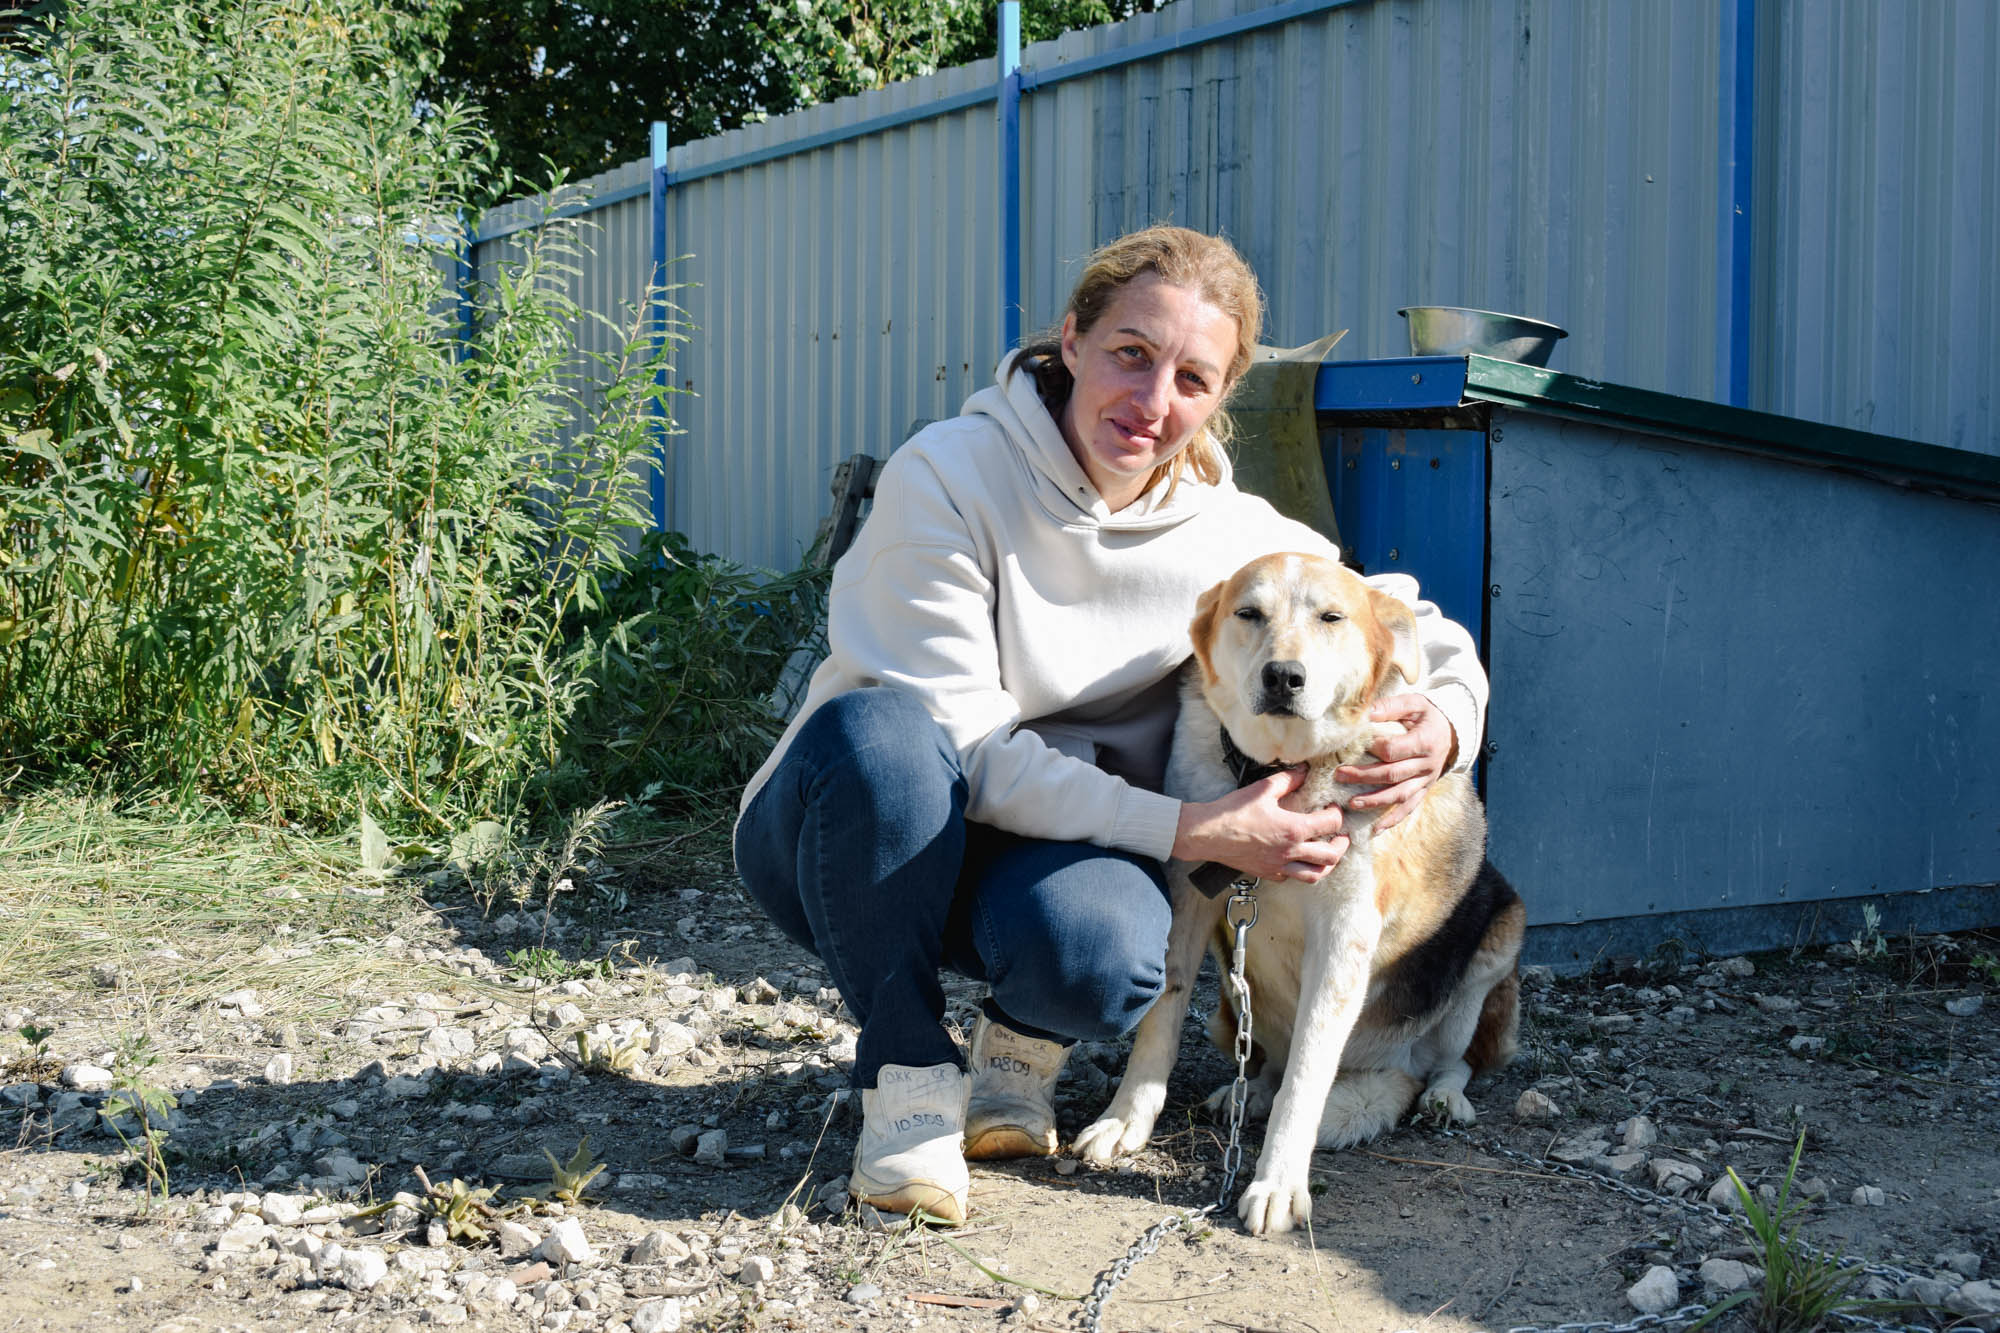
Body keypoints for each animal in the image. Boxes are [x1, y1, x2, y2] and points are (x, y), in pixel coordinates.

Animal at [1072, 544, 1520, 1232]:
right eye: (1249, 614)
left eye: (1332, 617)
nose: (1284, 676)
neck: (1282, 769)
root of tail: (1383, 1066)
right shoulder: (1191, 896)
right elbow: (1162, 1018)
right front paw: (1125, 1120)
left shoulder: (1345, 936)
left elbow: (1308, 1075)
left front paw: (1278, 1182)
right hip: (1232, 1010)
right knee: (1272, 1060)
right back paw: (1249, 1091)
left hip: (1498, 938)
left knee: (1451, 1063)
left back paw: (1442, 1098)